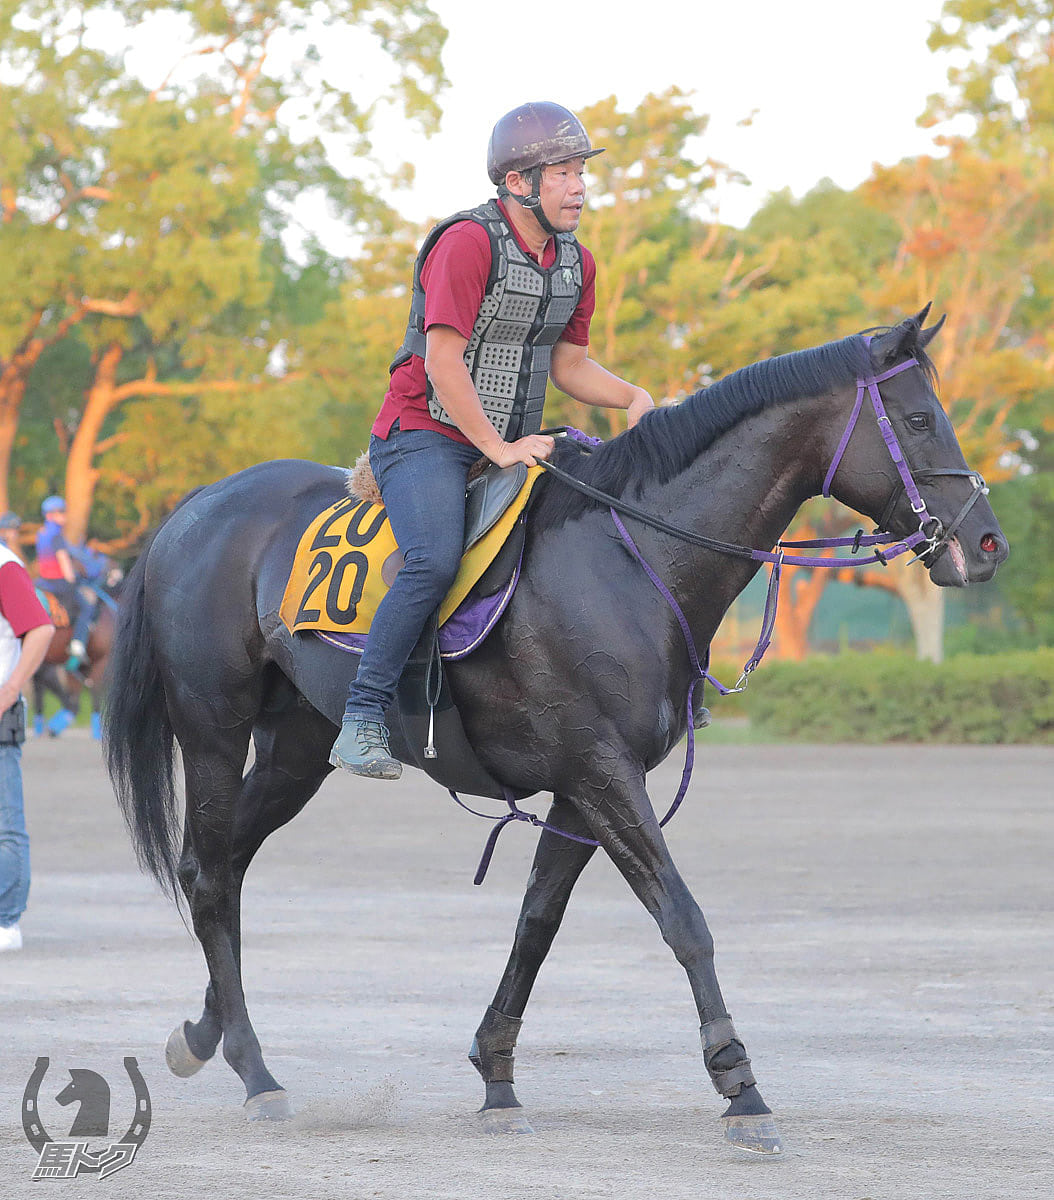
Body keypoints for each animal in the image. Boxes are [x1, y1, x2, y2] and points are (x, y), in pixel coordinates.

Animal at [103, 309, 1013, 1152]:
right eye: (921, 418)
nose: (986, 541)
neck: (631, 555)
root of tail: (193, 510)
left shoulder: (583, 789)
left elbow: (536, 925)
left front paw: (497, 1074)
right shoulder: (602, 770)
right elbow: (684, 920)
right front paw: (741, 1086)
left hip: (294, 750)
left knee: (223, 867)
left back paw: (205, 1037)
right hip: (214, 734)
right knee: (210, 877)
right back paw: (256, 1072)